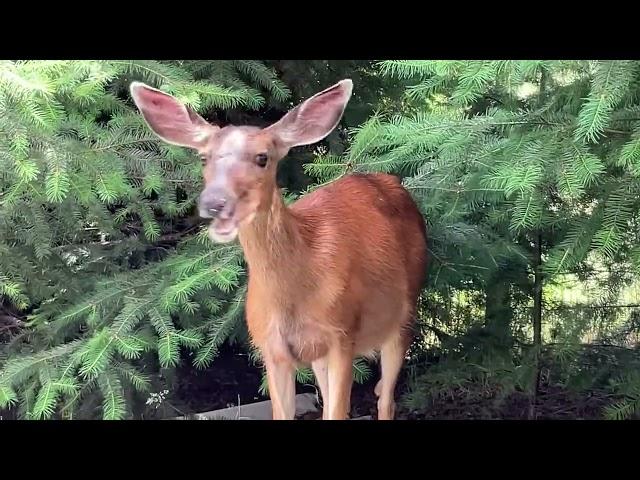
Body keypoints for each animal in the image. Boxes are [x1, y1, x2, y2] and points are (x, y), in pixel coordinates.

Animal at [130, 79, 428, 420]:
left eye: (263, 157)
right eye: (204, 158)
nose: (214, 203)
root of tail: (391, 180)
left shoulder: (342, 333)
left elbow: (339, 410)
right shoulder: (271, 348)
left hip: (403, 315)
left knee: (386, 397)